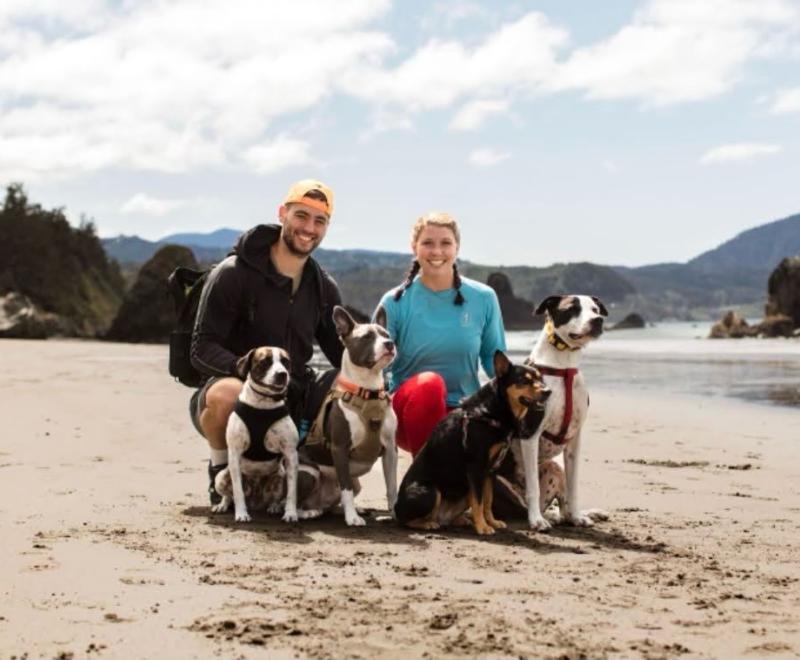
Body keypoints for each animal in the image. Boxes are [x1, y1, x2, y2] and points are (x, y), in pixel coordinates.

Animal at [209, 348, 304, 524]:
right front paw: (241, 514)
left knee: (276, 496)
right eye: (264, 361)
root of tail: (255, 499)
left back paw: (274, 506)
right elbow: (237, 491)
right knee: (229, 494)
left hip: (280, 477)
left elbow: (292, 493)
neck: (263, 404)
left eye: (285, 362)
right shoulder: (234, 453)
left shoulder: (290, 454)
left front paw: (290, 513)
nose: (282, 374)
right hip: (221, 476)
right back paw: (222, 505)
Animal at [298, 304, 398, 524]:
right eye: (367, 337)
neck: (368, 392)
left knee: (333, 503)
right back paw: (306, 512)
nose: (390, 344)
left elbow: (392, 487)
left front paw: (397, 514)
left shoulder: (390, 450)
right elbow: (346, 488)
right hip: (309, 472)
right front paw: (352, 518)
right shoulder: (340, 448)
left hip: (353, 483)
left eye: (386, 334)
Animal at [394, 350, 552, 536]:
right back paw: (427, 524)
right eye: (524, 380)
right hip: (430, 491)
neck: (491, 412)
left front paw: (492, 522)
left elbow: (487, 501)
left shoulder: (490, 471)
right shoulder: (476, 467)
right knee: (406, 520)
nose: (548, 391)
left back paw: (458, 520)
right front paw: (483, 527)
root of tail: (396, 506)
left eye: (540, 378)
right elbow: (479, 502)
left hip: (463, 492)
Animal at [500, 294, 612, 532]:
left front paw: (577, 516)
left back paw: (575, 515)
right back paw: (539, 517)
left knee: (559, 505)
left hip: (554, 468)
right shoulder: (530, 434)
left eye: (595, 309)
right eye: (572, 308)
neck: (564, 366)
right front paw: (536, 521)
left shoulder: (574, 440)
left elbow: (573, 486)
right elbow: (533, 486)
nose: (598, 320)